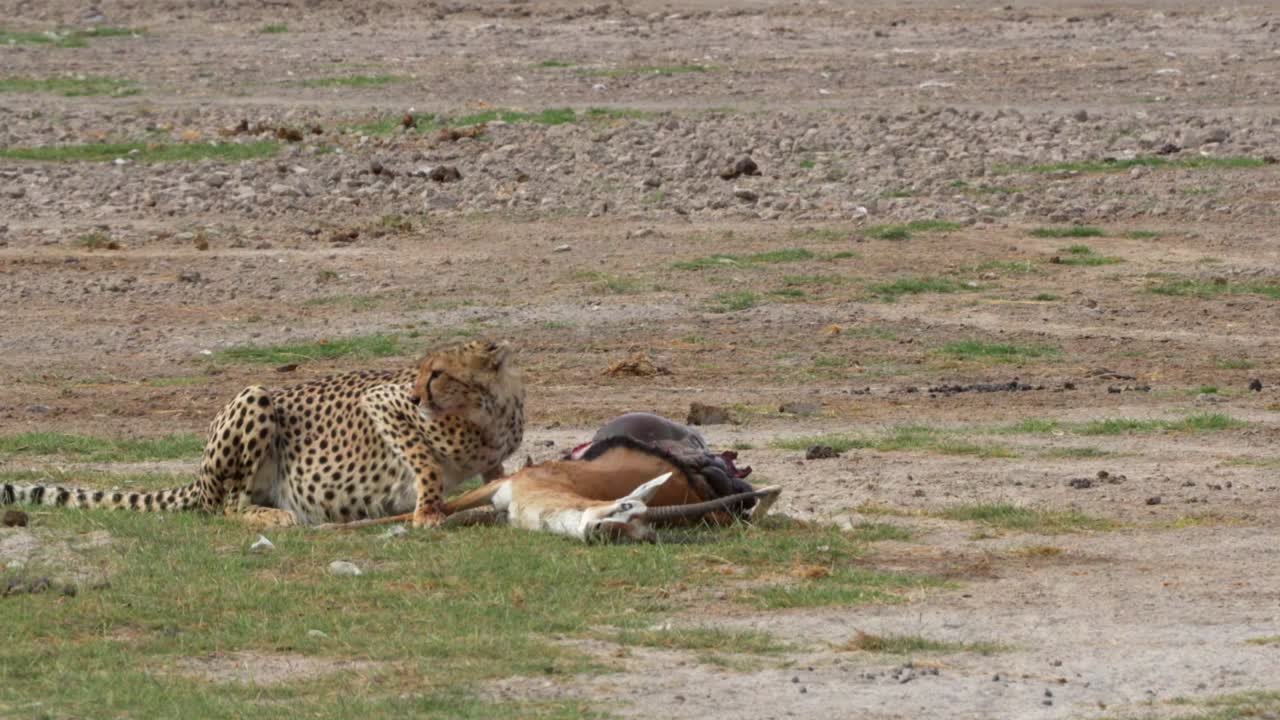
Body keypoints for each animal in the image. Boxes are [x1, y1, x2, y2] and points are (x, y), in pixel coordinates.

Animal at [1, 339, 524, 528]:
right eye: (417, 374)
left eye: (437, 373)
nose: (418, 398)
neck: (487, 411)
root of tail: (198, 479)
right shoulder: (383, 402)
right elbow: (425, 462)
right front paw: (428, 511)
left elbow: (494, 473)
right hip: (255, 397)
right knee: (227, 507)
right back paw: (276, 517)